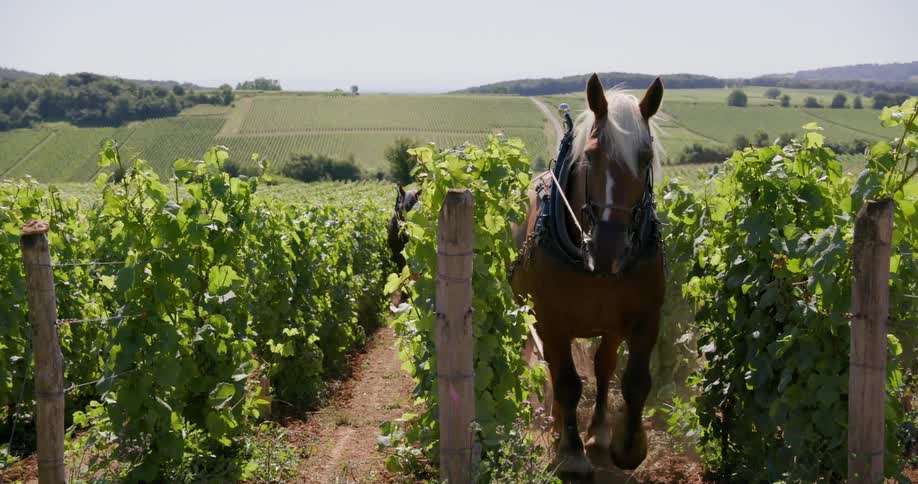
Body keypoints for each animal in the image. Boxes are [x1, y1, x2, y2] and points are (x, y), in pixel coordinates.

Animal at [511, 73, 665, 476]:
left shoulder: (645, 317)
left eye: (645, 158)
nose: (608, 250)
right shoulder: (550, 321)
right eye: (591, 156)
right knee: (555, 371)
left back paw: (596, 431)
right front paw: (572, 454)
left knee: (603, 367)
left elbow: (633, 380)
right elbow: (566, 383)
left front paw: (628, 446)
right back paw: (555, 429)